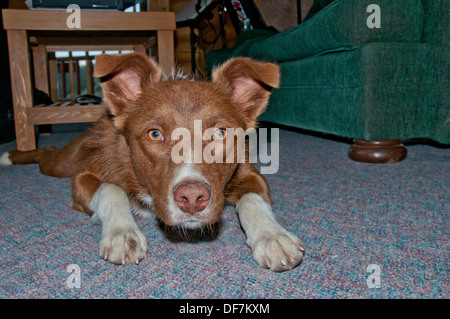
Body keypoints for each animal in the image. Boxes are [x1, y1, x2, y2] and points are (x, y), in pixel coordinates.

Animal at [1, 53, 304, 272]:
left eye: (220, 134)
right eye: (155, 134)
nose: (191, 198)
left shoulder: (250, 175)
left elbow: (253, 199)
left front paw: (273, 237)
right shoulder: (83, 177)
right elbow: (112, 189)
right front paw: (122, 232)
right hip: (64, 162)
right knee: (47, 152)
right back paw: (8, 156)